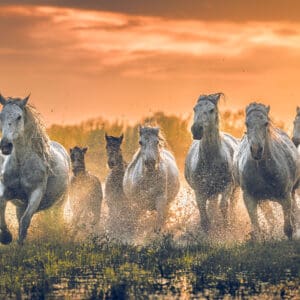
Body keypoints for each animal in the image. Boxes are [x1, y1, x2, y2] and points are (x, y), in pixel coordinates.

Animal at [0, 95, 70, 245]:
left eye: (19, 117)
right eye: (1, 116)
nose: (6, 146)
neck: (21, 164)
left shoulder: (36, 193)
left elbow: (25, 221)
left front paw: (19, 246)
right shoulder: (7, 190)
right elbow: (2, 205)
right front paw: (6, 237)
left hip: (60, 202)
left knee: (55, 219)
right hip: (20, 206)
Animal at [185, 93, 239, 232]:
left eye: (211, 110)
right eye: (195, 109)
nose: (196, 130)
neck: (210, 161)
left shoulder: (227, 186)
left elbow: (224, 206)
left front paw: (226, 229)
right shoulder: (199, 191)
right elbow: (204, 214)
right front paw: (208, 232)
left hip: (234, 189)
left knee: (232, 205)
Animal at [234, 102, 300, 239]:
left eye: (265, 123)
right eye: (246, 123)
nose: (256, 150)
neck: (263, 171)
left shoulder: (285, 196)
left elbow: (288, 228)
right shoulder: (249, 197)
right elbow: (257, 229)